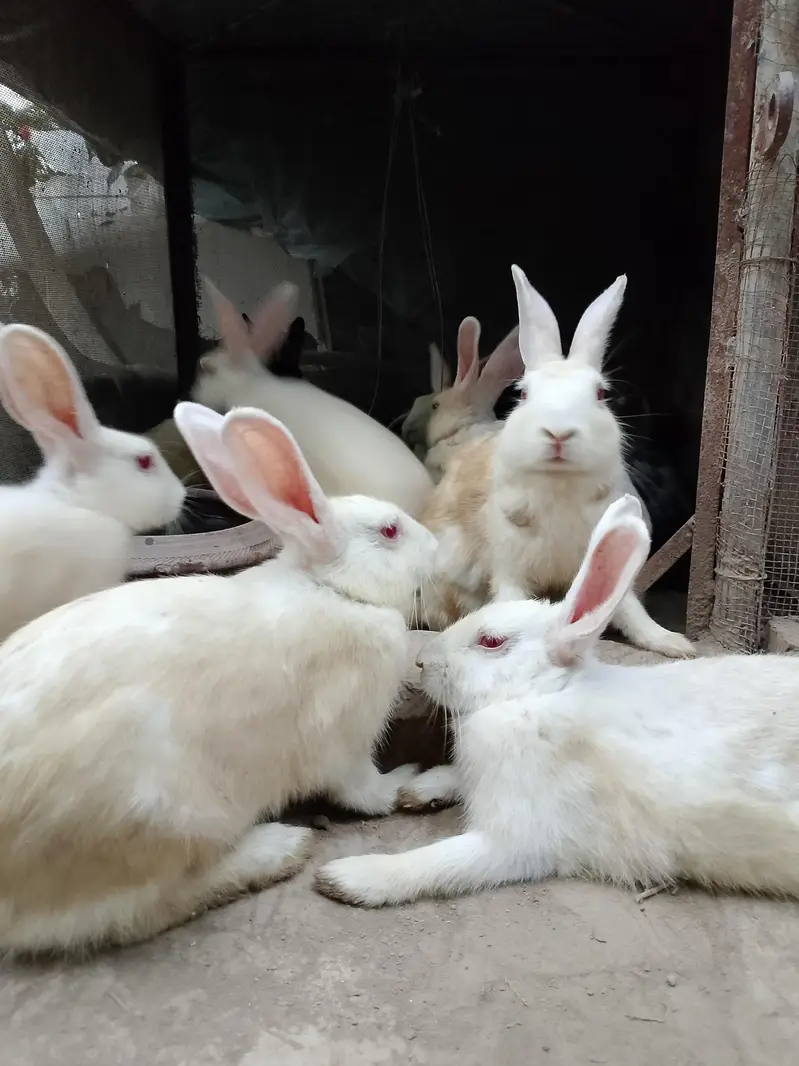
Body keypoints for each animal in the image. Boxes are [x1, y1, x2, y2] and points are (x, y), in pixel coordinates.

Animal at [0, 400, 437, 954]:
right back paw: (279, 848)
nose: (437, 545)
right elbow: (364, 791)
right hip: (165, 819)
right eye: (390, 531)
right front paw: (404, 781)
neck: (332, 590)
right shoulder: (344, 739)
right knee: (144, 910)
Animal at [315, 494, 799, 908]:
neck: (540, 697)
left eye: (491, 642)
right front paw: (420, 789)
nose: (422, 661)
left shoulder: (518, 838)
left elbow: (443, 862)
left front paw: (347, 878)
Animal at [419, 265, 691, 659]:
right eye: (522, 394)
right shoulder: (509, 566)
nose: (559, 433)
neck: (559, 484)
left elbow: (628, 608)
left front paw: (672, 643)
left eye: (601, 394)